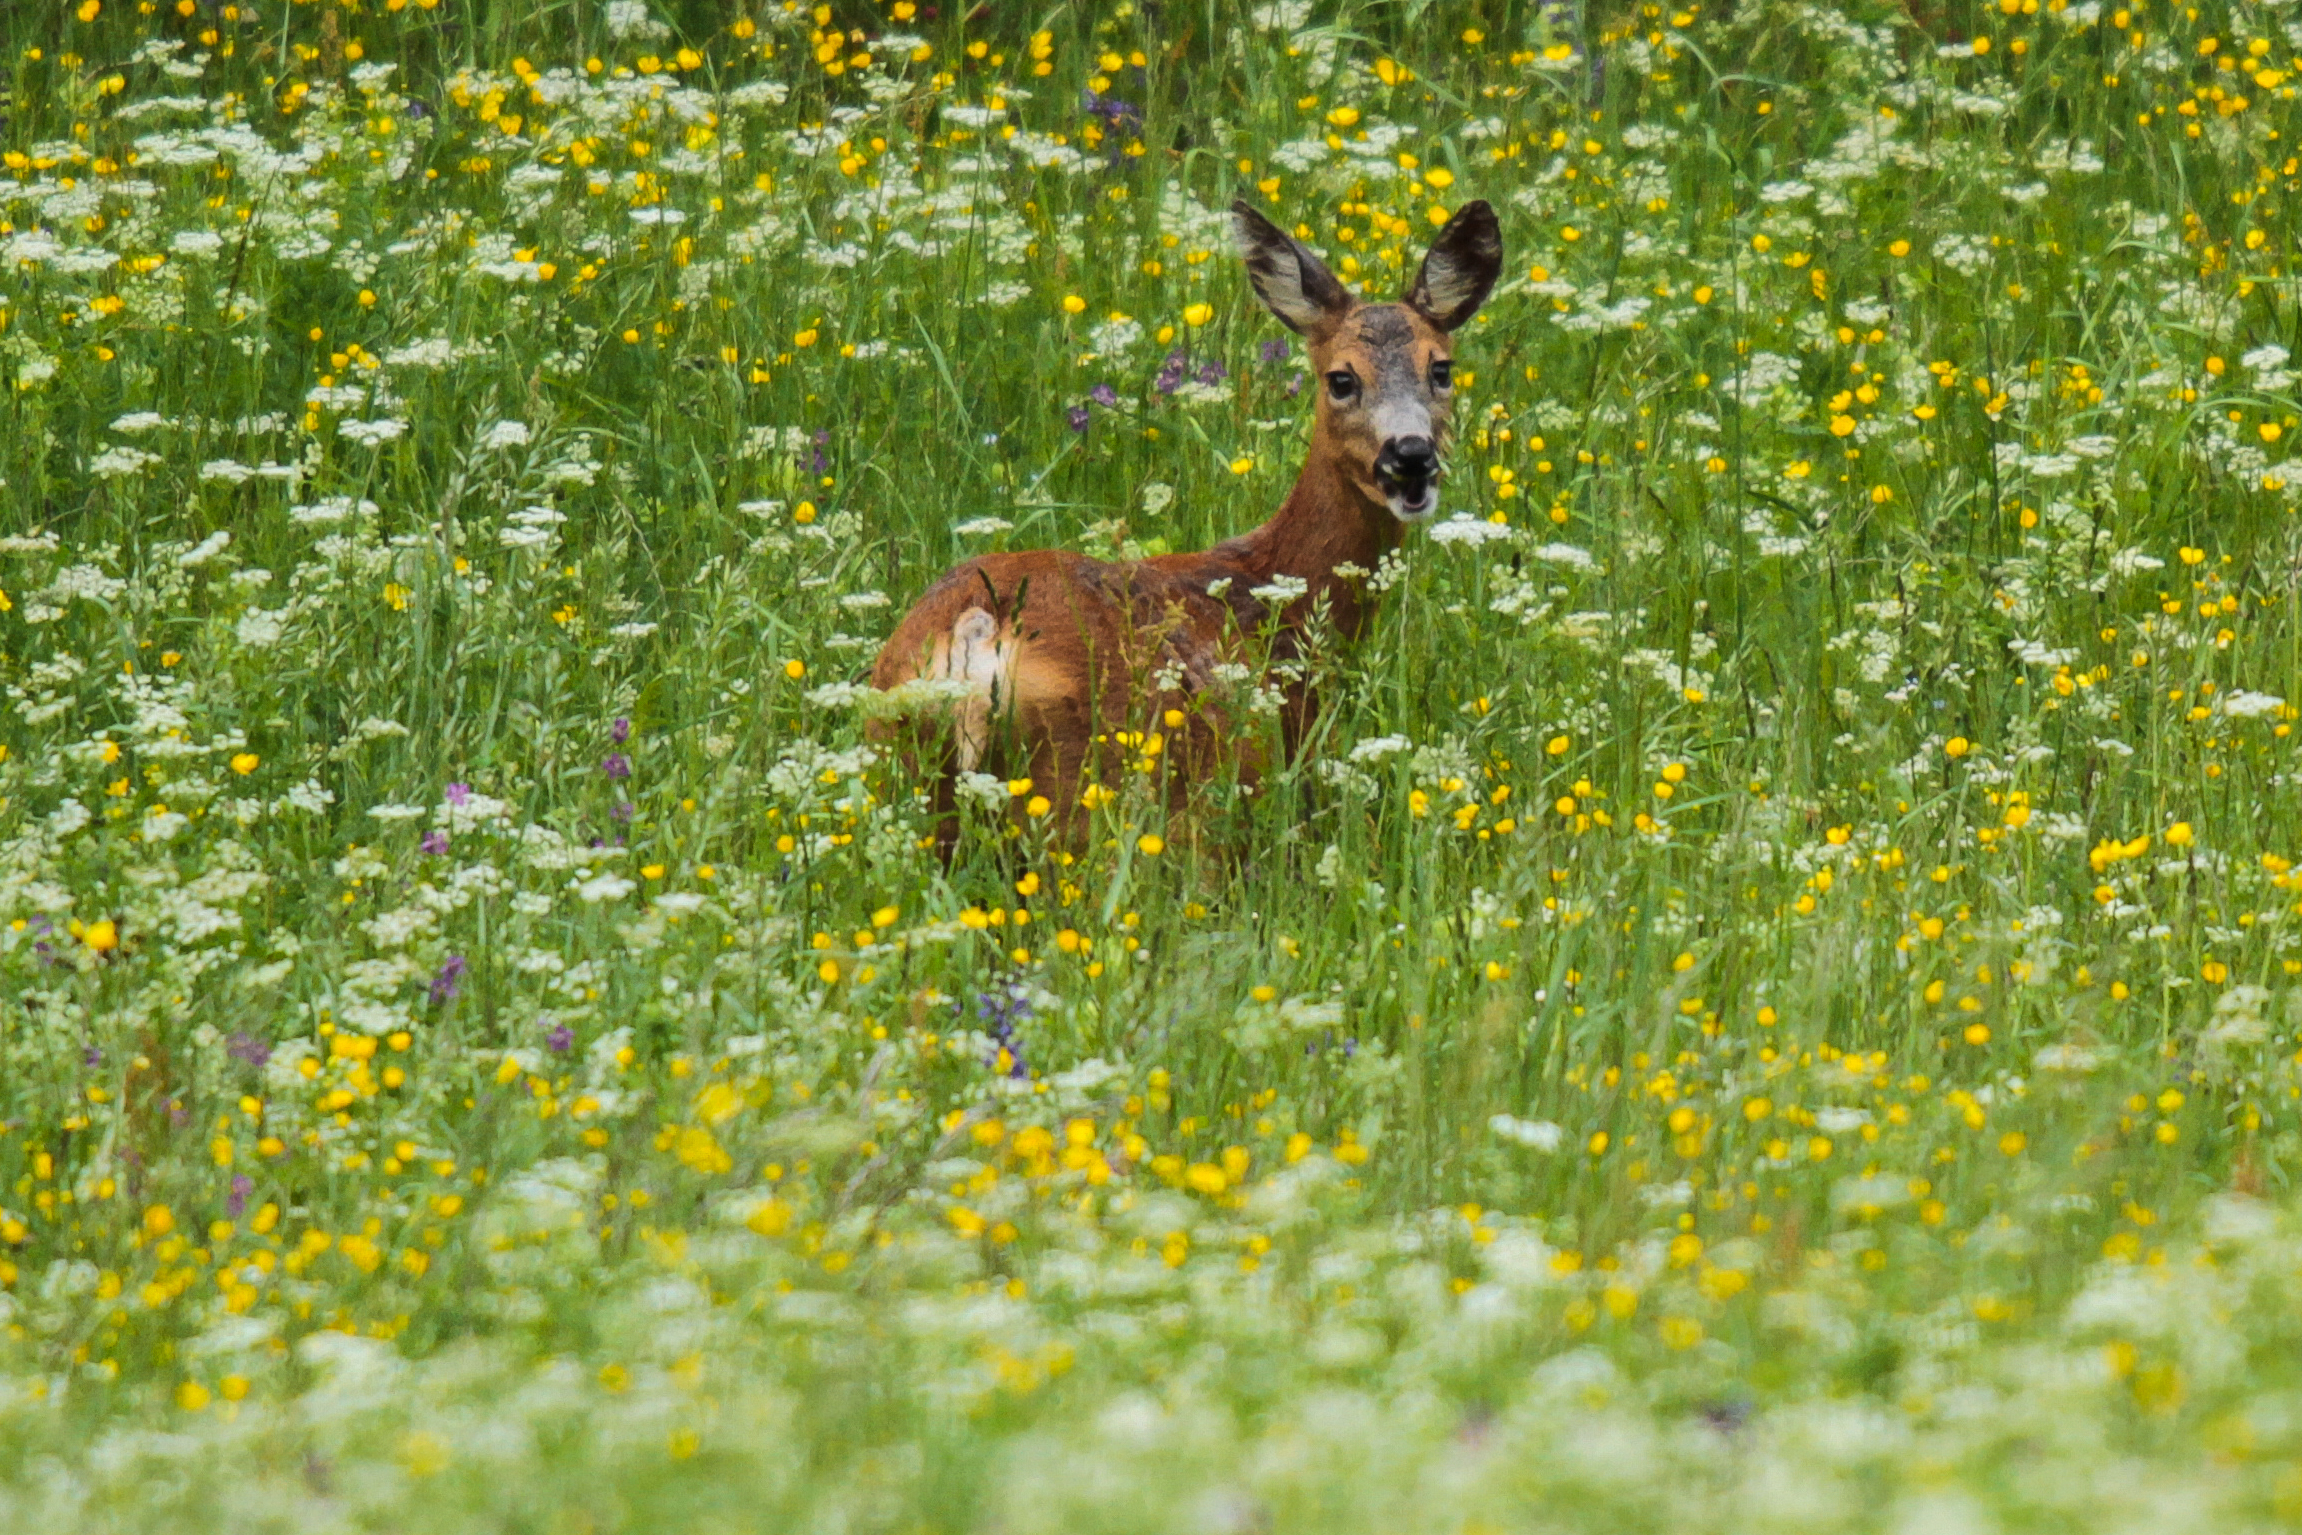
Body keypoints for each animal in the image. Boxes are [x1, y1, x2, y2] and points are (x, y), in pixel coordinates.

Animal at [870, 199, 1503, 854]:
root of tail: (976, 632)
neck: (1271, 592)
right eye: (1342, 378)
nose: (1410, 456)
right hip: (1101, 790)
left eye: (1442, 370)